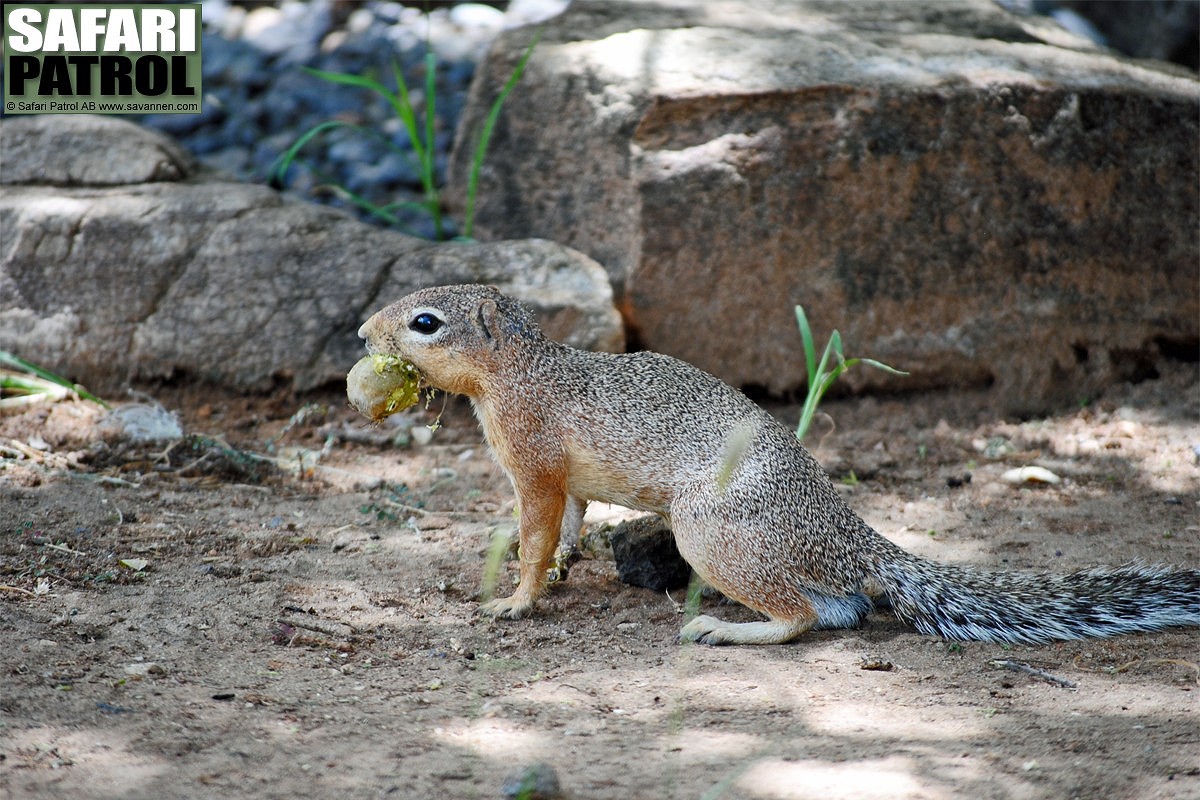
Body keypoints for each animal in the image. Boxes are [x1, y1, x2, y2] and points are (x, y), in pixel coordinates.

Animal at [355, 284, 1200, 647]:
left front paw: (517, 600)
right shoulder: (564, 483)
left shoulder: (533, 462)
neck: (519, 374)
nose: (362, 331)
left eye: (425, 322)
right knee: (840, 609)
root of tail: (844, 532)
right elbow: (568, 524)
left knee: (808, 616)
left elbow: (533, 535)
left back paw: (728, 632)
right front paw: (563, 570)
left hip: (711, 536)